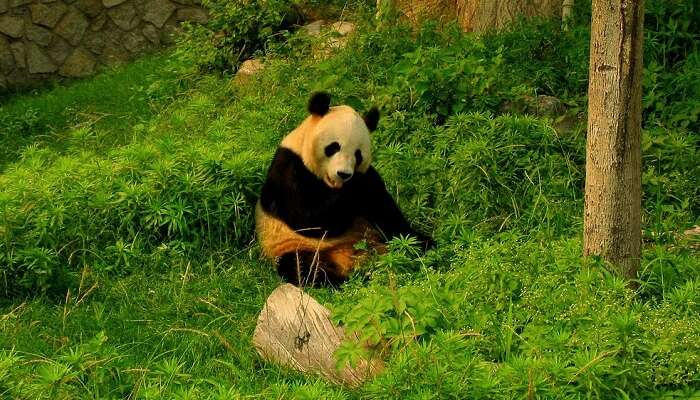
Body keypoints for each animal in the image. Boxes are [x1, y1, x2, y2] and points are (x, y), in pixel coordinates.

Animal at [258, 92, 432, 286]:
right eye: (333, 147)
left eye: (358, 154)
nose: (343, 174)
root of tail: (350, 258)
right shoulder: (289, 169)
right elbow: (311, 221)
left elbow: (386, 212)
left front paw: (416, 242)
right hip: (293, 245)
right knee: (299, 265)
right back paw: (340, 279)